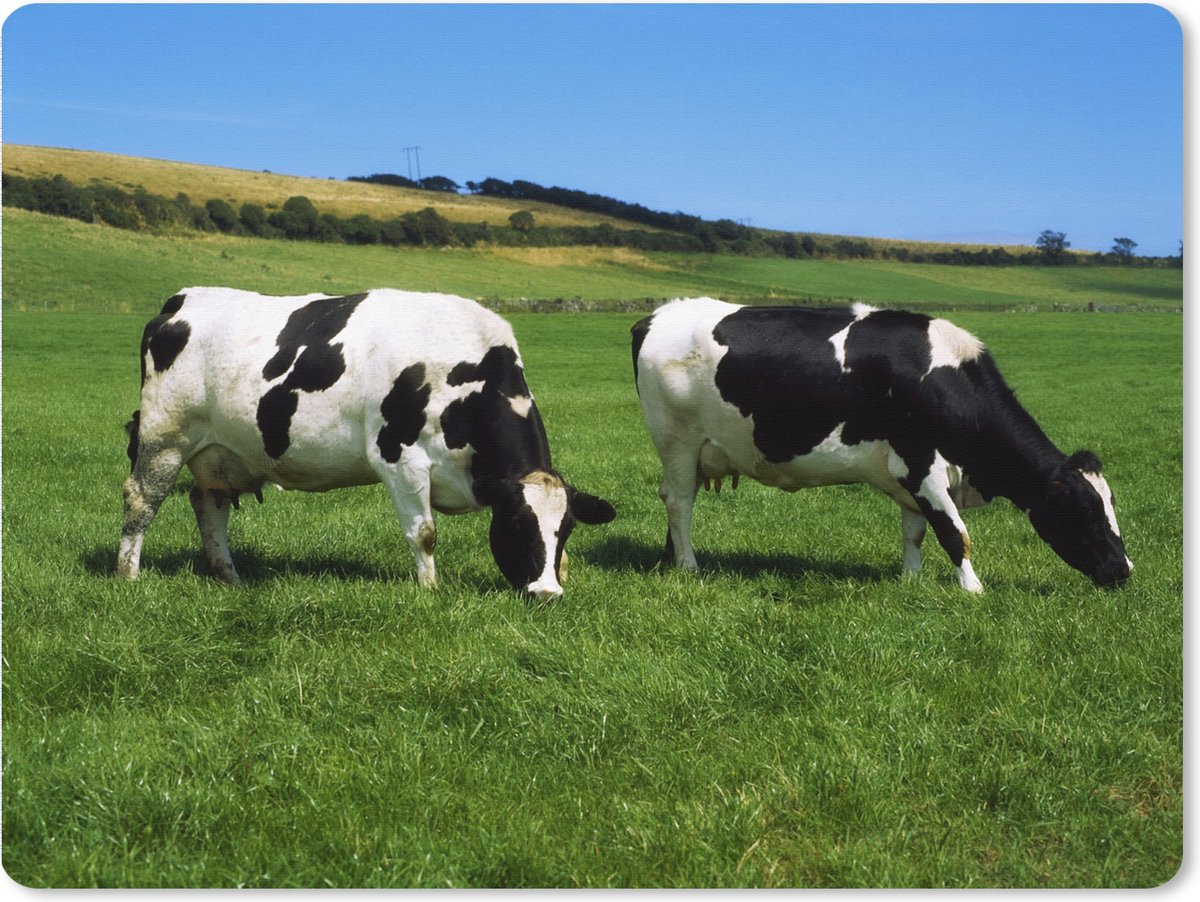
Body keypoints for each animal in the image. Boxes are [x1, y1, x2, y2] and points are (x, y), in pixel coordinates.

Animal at [118, 287, 616, 598]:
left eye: (567, 529)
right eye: (515, 525)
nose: (546, 594)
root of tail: (183, 299)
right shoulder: (400, 460)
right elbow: (425, 533)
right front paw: (430, 590)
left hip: (219, 454)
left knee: (208, 504)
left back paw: (229, 578)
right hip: (164, 436)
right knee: (140, 500)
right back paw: (129, 576)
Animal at [631, 297, 1132, 593]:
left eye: (1111, 504)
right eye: (1084, 510)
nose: (1124, 570)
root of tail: (658, 314)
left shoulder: (910, 478)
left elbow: (916, 531)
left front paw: (910, 578)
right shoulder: (922, 466)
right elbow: (955, 533)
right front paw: (973, 590)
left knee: (674, 502)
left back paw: (671, 558)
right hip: (677, 438)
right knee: (679, 502)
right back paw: (689, 565)